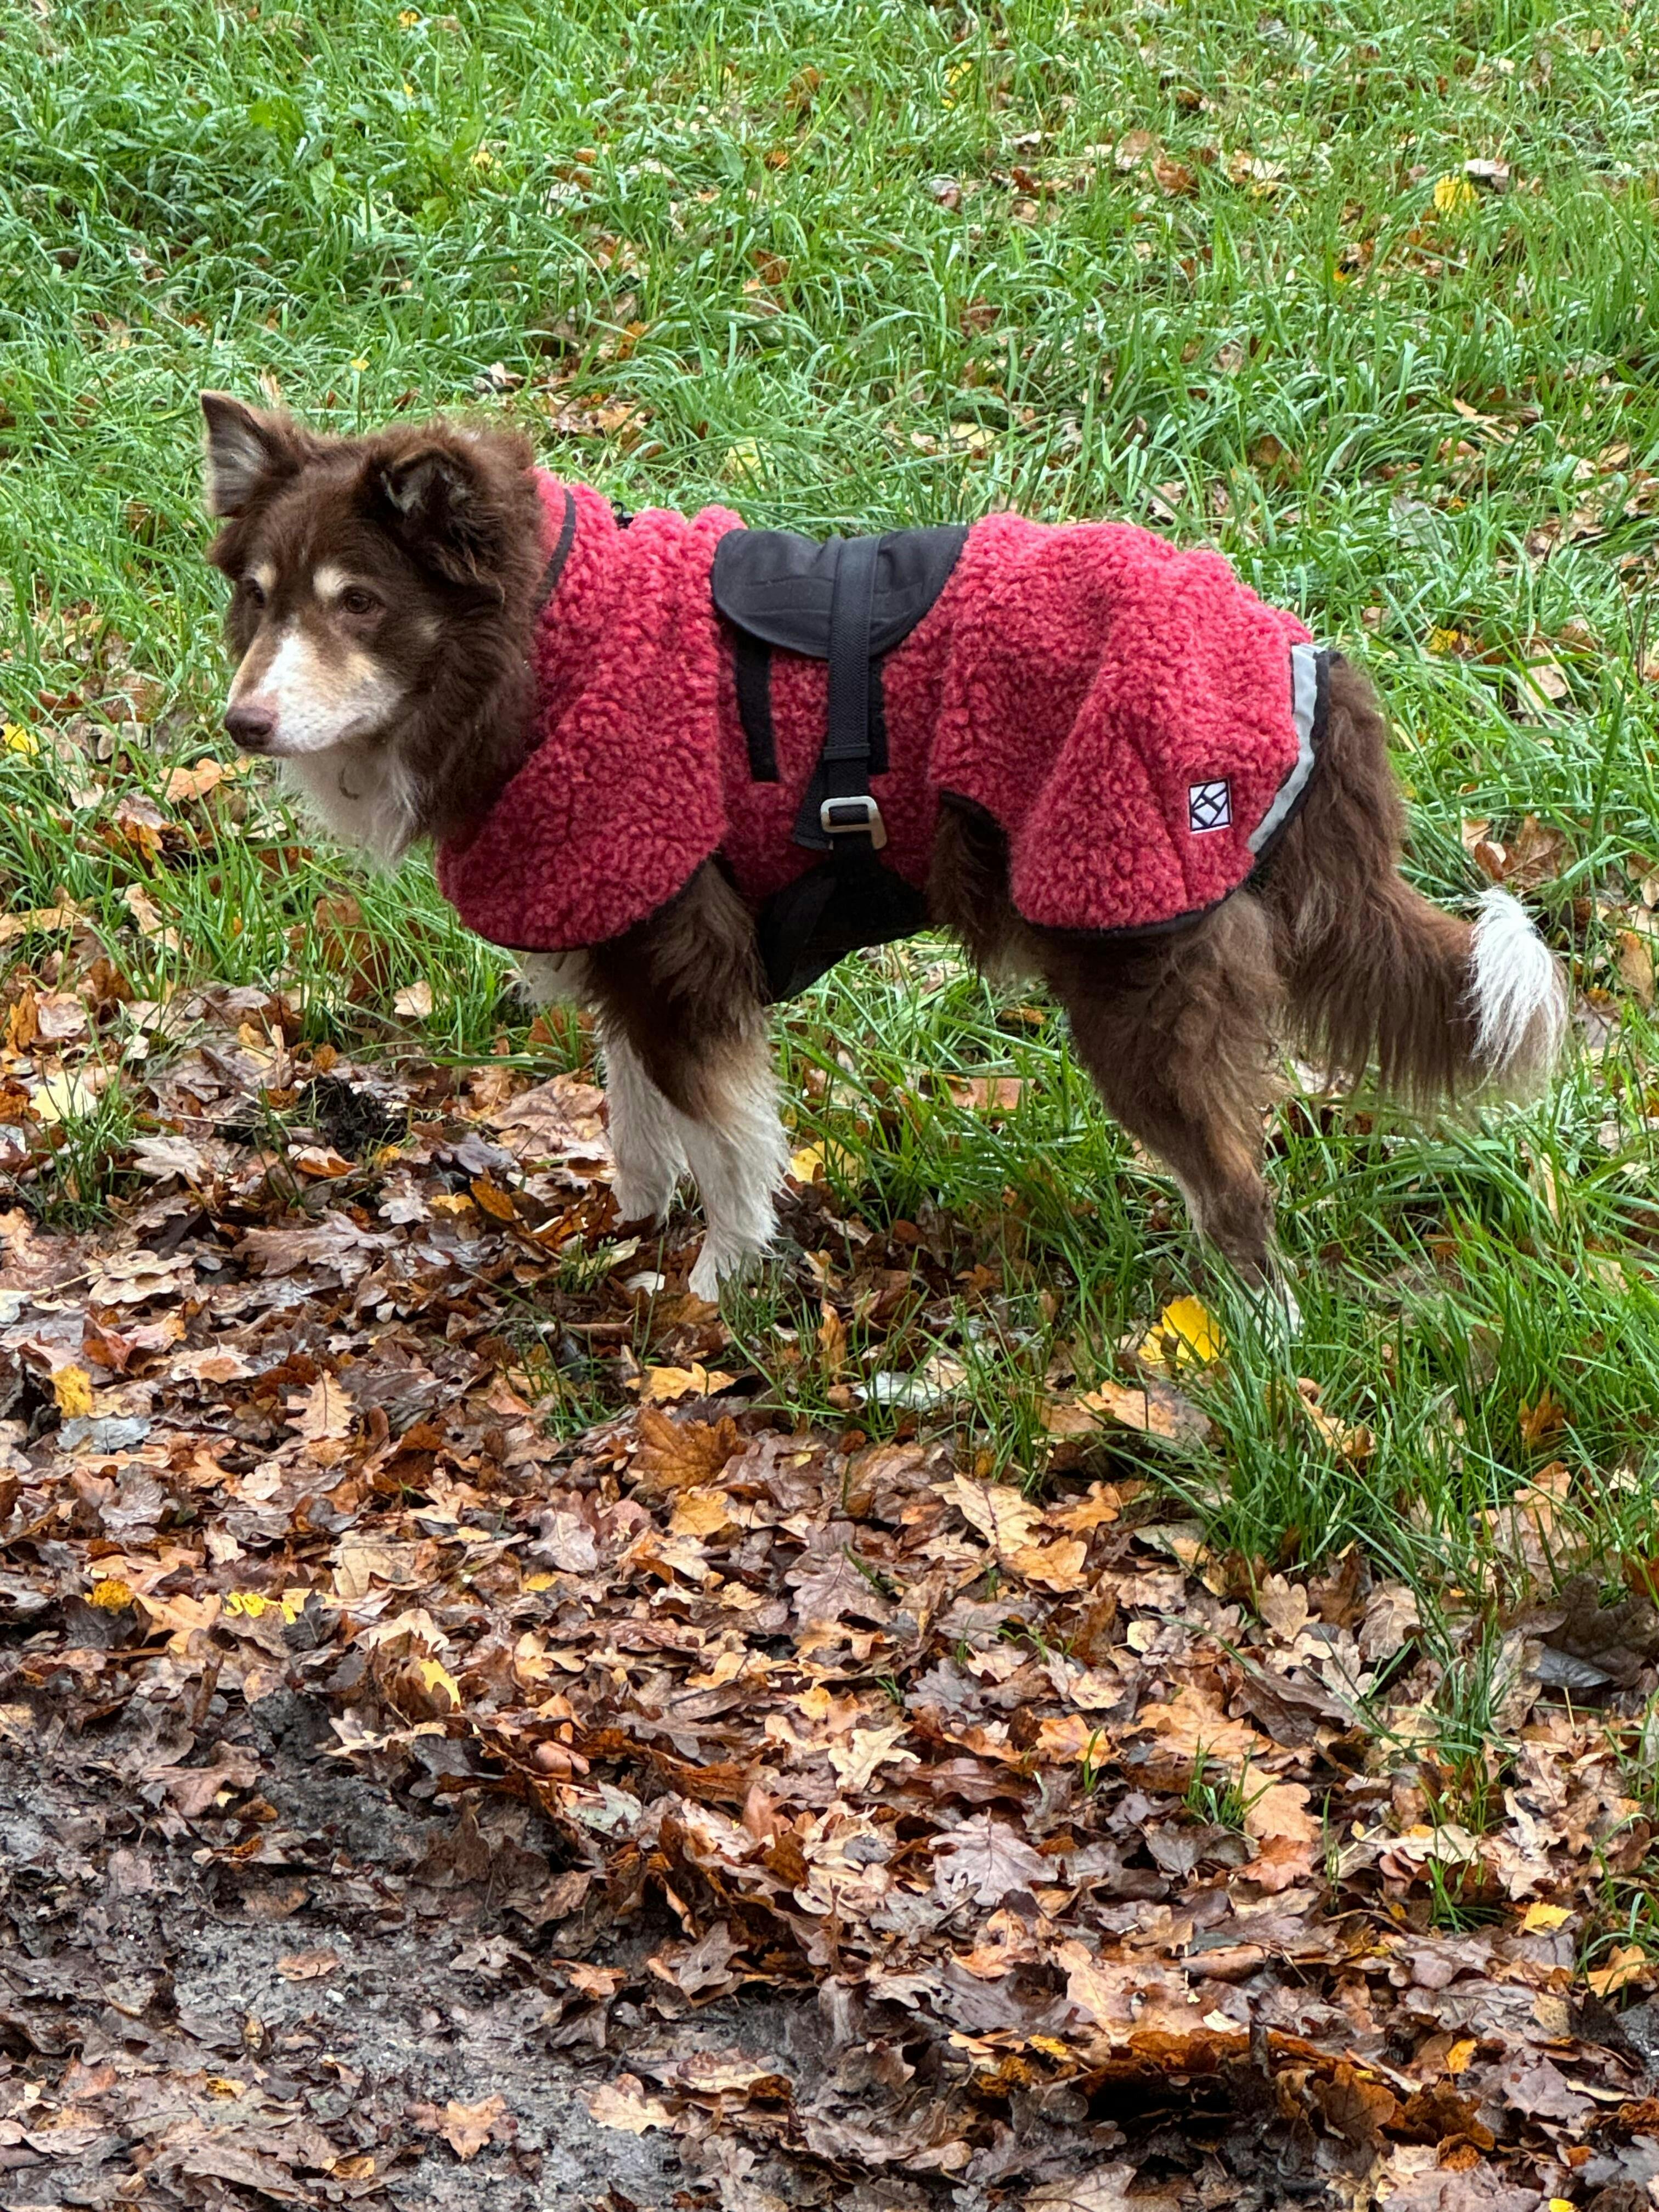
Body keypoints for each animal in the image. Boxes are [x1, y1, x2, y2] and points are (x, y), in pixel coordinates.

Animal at [199, 391, 1568, 1306]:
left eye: (359, 604)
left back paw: (1247, 1350)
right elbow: (639, 1114)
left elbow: (728, 1142)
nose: (241, 723)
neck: (543, 642)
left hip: (1134, 947)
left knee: (1237, 1186)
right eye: (259, 597)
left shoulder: (683, 949)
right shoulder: (623, 920)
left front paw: (718, 1286)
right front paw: (634, 1225)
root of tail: (1296, 648)